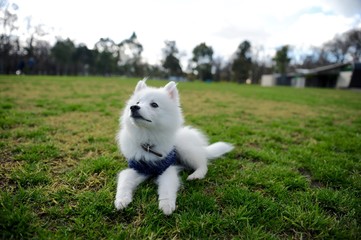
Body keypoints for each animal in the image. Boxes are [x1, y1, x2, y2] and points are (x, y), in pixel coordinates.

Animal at [114, 79, 233, 215]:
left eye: (154, 104)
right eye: (137, 102)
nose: (133, 107)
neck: (148, 141)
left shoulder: (167, 168)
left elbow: (167, 187)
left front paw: (166, 205)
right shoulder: (137, 167)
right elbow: (124, 180)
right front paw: (121, 200)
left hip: (185, 149)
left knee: (203, 164)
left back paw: (196, 175)